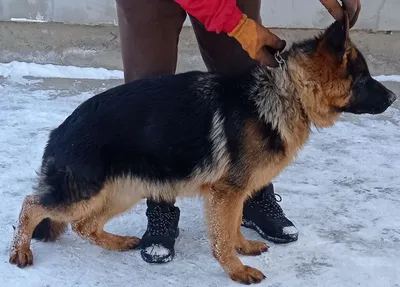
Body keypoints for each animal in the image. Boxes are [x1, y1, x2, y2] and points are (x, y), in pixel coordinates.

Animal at [10, 14, 396, 284]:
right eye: (363, 79)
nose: (394, 97)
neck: (285, 92)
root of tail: (60, 130)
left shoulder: (234, 191)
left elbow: (234, 224)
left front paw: (243, 247)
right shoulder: (226, 192)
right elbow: (222, 236)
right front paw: (236, 269)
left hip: (123, 191)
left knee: (84, 225)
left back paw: (117, 242)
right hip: (85, 192)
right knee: (32, 206)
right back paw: (20, 251)